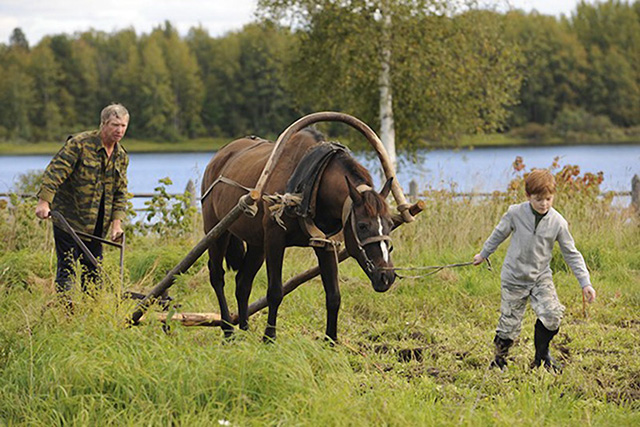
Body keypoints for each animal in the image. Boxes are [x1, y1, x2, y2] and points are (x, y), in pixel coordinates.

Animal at [202, 129, 398, 342]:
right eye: (362, 226)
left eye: (390, 224)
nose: (386, 277)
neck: (312, 184)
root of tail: (219, 156)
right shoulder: (274, 240)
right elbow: (275, 292)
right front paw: (269, 337)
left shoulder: (327, 244)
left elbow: (334, 295)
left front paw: (331, 340)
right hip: (216, 231)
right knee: (217, 277)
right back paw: (228, 330)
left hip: (257, 244)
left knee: (243, 282)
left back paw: (245, 329)